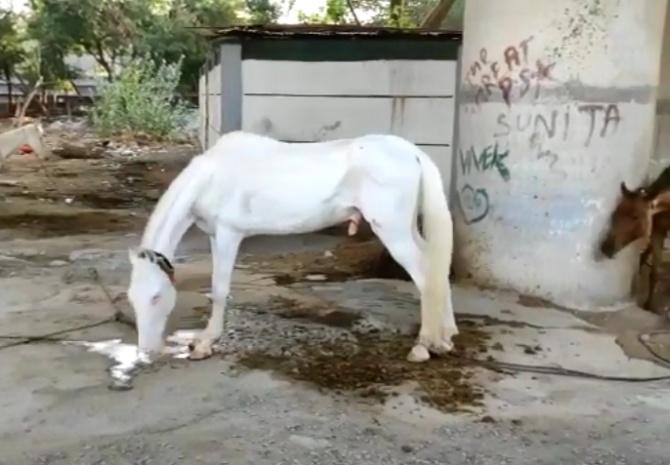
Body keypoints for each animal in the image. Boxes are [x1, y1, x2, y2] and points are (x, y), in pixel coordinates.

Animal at [129, 130, 460, 362]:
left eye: (156, 297)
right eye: (132, 299)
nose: (146, 352)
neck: (211, 176)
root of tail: (413, 152)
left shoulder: (228, 234)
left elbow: (219, 289)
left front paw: (205, 342)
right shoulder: (214, 235)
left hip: (393, 231)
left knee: (425, 276)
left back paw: (425, 345)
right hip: (406, 228)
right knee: (436, 267)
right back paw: (446, 335)